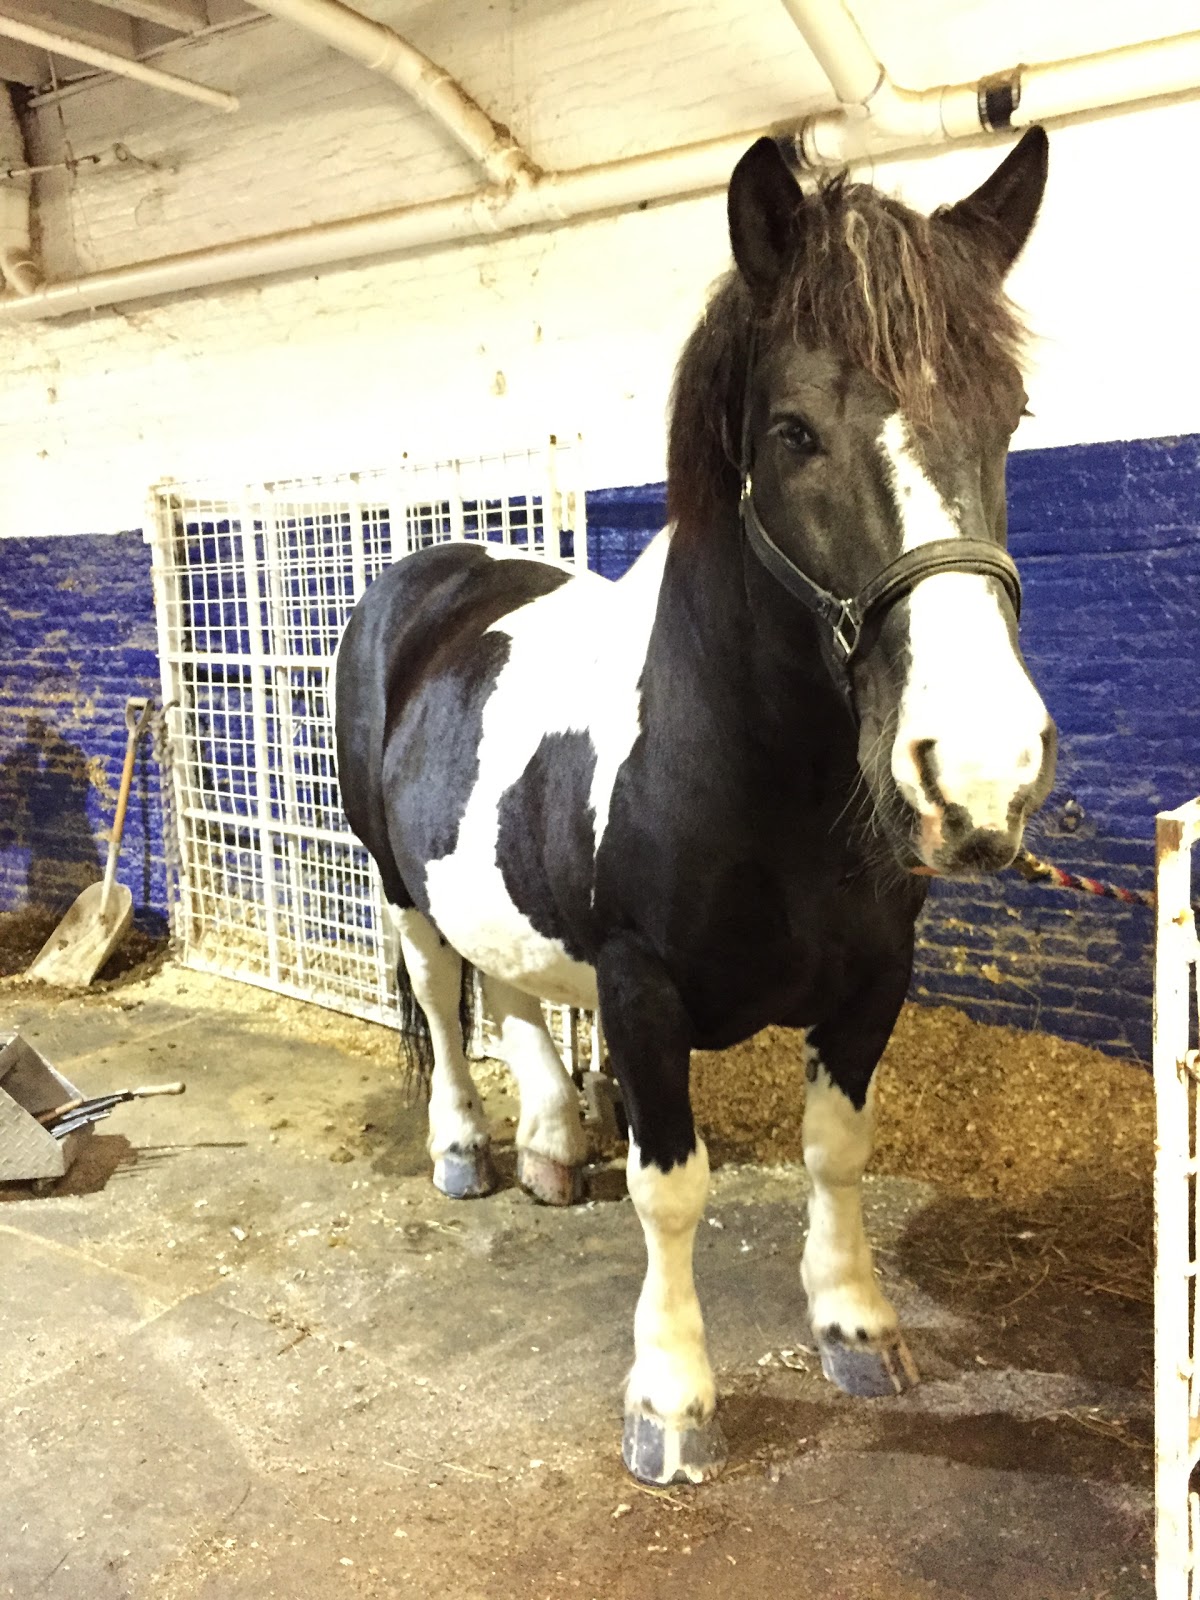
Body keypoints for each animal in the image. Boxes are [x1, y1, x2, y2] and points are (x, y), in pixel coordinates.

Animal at [334, 131, 1056, 1491]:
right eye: (792, 431)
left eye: (1011, 417)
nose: (984, 773)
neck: (758, 776)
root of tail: (437, 567)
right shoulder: (643, 990)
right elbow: (671, 1187)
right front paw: (671, 1401)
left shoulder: (874, 978)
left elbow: (837, 1150)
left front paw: (855, 1326)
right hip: (402, 889)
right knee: (450, 1004)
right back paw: (465, 1150)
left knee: (514, 991)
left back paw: (550, 1146)